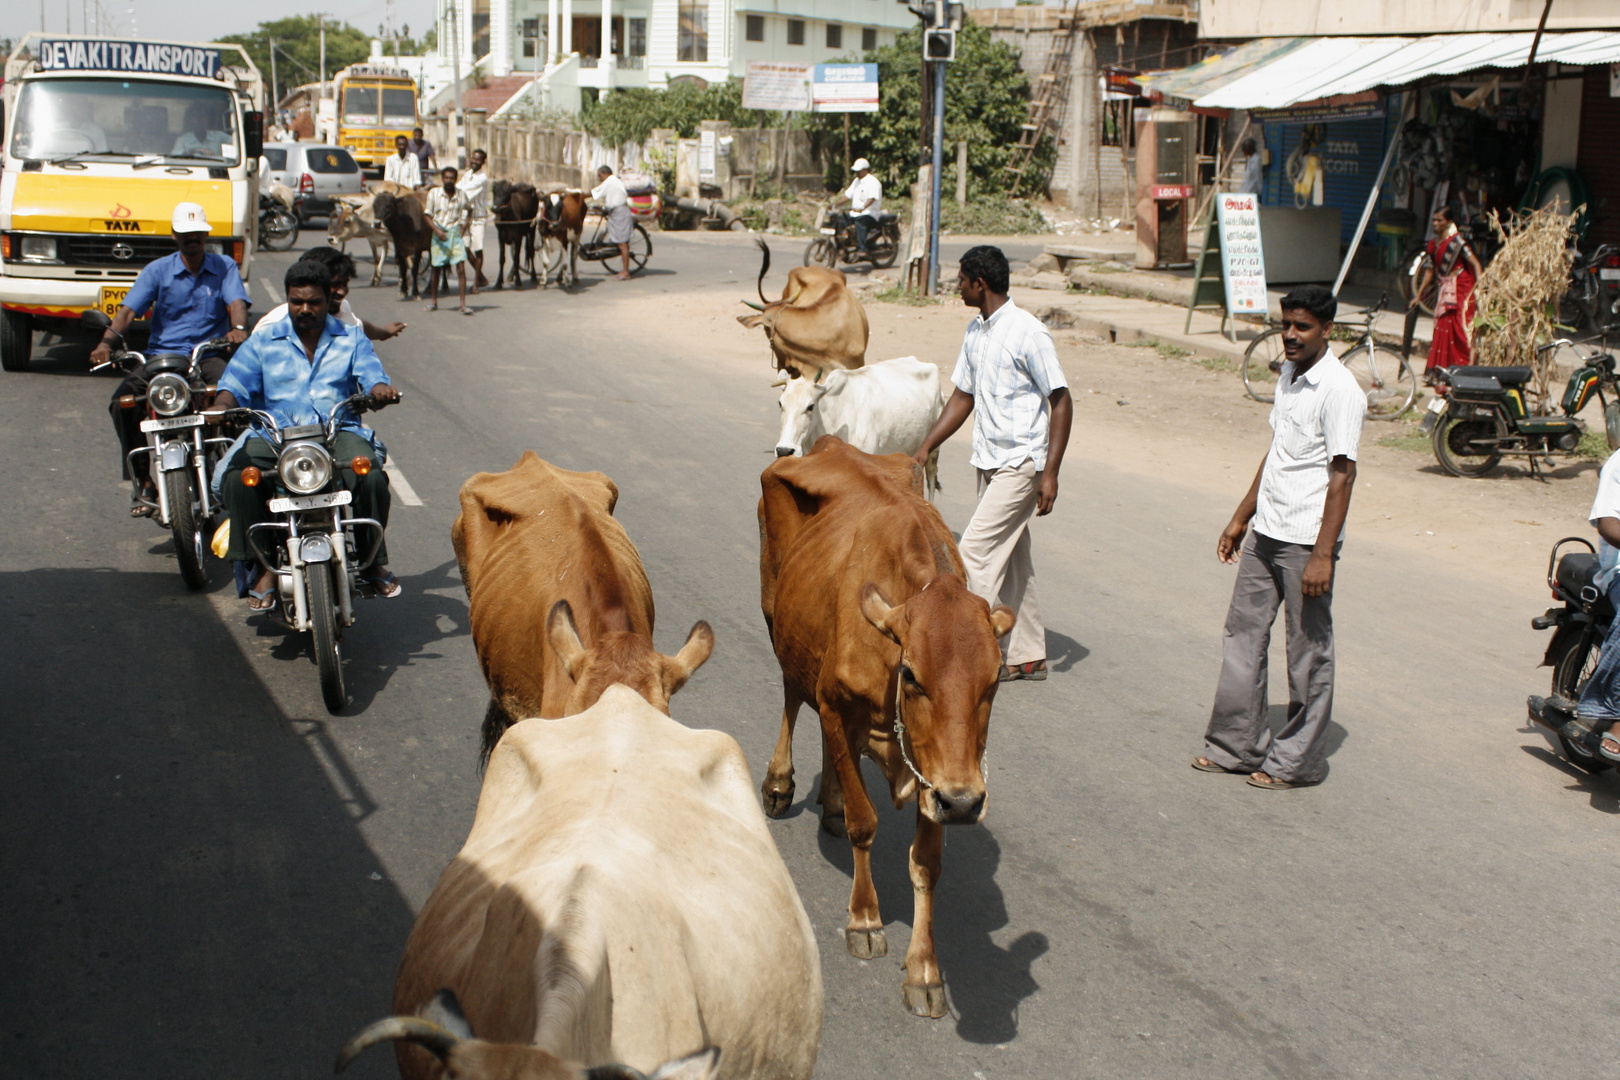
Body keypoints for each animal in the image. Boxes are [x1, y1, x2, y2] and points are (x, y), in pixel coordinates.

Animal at [758, 433, 1010, 1016]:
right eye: (913, 675)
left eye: (995, 680)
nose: (966, 803)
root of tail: (828, 443)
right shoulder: (833, 701)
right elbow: (864, 822)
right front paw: (865, 919)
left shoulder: (935, 772)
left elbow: (927, 862)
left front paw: (925, 970)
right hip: (776, 617)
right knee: (791, 696)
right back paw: (780, 784)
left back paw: (828, 798)